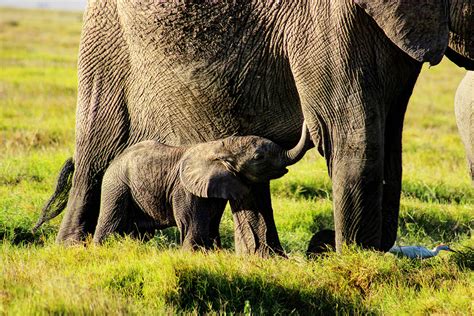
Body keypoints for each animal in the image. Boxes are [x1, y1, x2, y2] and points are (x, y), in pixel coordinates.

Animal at [93, 122, 310, 251]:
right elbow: (193, 230)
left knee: (139, 234)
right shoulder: (185, 190)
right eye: (259, 157)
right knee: (109, 225)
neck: (218, 146)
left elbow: (211, 228)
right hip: (116, 186)